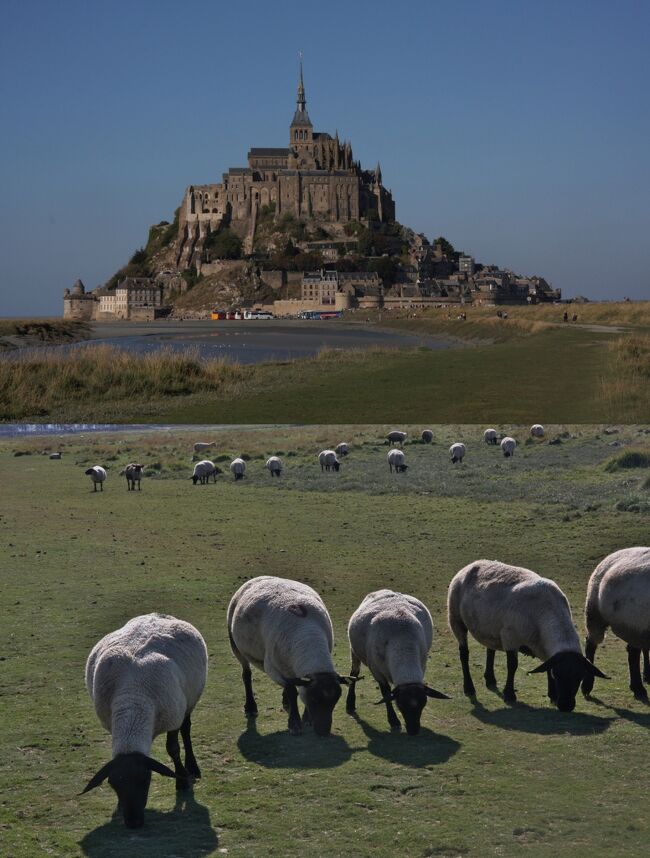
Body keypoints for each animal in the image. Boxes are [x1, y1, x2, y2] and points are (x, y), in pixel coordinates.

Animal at [81, 612, 206, 824]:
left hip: (188, 701)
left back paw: (192, 767)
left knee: (186, 730)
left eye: (146, 780)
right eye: (113, 784)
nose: (133, 822)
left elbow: (173, 748)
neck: (133, 702)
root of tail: (157, 614)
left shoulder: (173, 716)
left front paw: (182, 780)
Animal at [225, 572, 352, 732]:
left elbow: (296, 688)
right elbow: (292, 691)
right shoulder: (274, 669)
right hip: (236, 646)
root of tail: (259, 577)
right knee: (246, 675)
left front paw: (306, 719)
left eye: (336, 699)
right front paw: (295, 723)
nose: (323, 731)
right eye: (314, 699)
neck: (308, 637)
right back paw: (251, 707)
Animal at [344, 588, 446, 736]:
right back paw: (350, 704)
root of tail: (383, 590)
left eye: (423, 703)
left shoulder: (422, 664)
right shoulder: (377, 671)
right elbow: (386, 694)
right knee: (354, 673)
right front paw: (394, 721)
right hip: (354, 651)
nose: (414, 731)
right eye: (401, 705)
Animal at [446, 556, 604, 708]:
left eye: (580, 677)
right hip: (456, 619)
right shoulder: (510, 638)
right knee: (464, 654)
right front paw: (509, 695)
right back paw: (469, 688)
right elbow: (512, 666)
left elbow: (547, 666)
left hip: (489, 627)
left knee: (490, 650)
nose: (566, 706)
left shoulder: (542, 646)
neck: (548, 613)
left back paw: (490, 679)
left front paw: (552, 695)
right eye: (557, 675)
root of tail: (472, 564)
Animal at [580, 544, 648, 700]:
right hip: (595, 614)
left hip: (635, 624)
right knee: (590, 645)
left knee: (633, 652)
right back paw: (587, 686)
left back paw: (637, 687)